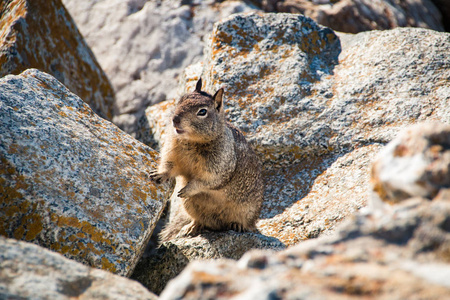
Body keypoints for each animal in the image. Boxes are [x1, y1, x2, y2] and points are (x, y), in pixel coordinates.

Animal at [151, 78, 264, 241]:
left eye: (202, 112)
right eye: (180, 100)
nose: (175, 120)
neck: (192, 141)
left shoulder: (218, 167)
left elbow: (206, 182)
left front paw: (188, 189)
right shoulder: (171, 151)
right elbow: (168, 165)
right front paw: (159, 175)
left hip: (247, 211)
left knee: (244, 223)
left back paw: (238, 225)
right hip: (190, 205)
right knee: (201, 220)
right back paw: (191, 227)